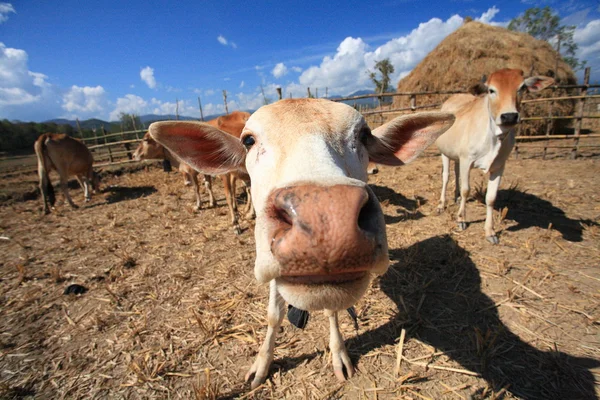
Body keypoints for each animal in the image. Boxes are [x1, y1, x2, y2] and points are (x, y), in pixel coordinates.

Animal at [148, 98, 452, 390]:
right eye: (248, 140)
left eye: (364, 135)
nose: (326, 220)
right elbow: (274, 315)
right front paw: (261, 365)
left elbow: (332, 310)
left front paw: (339, 355)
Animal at [436, 68, 552, 244]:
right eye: (491, 90)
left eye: (522, 88)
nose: (509, 116)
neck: (493, 138)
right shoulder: (466, 160)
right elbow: (466, 190)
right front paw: (461, 219)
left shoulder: (498, 166)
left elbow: (490, 198)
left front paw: (490, 231)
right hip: (445, 153)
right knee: (446, 177)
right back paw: (442, 204)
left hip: (456, 156)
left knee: (456, 175)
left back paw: (456, 198)